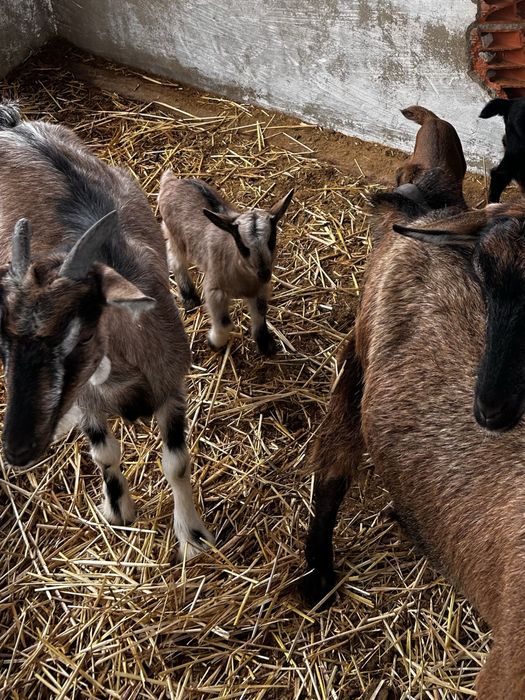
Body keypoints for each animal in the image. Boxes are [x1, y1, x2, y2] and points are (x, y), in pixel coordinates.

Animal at [0, 101, 213, 559]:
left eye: (79, 333)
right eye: (4, 344)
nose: (17, 450)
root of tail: (14, 125)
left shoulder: (171, 387)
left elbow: (176, 463)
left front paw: (191, 537)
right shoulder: (88, 402)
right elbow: (104, 455)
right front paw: (119, 511)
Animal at [158, 174, 294, 356]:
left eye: (271, 240)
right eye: (243, 246)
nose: (264, 273)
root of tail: (171, 180)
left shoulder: (260, 290)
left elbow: (260, 313)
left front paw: (266, 345)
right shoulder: (214, 290)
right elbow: (224, 323)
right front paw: (214, 343)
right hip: (175, 236)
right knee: (176, 260)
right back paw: (190, 298)